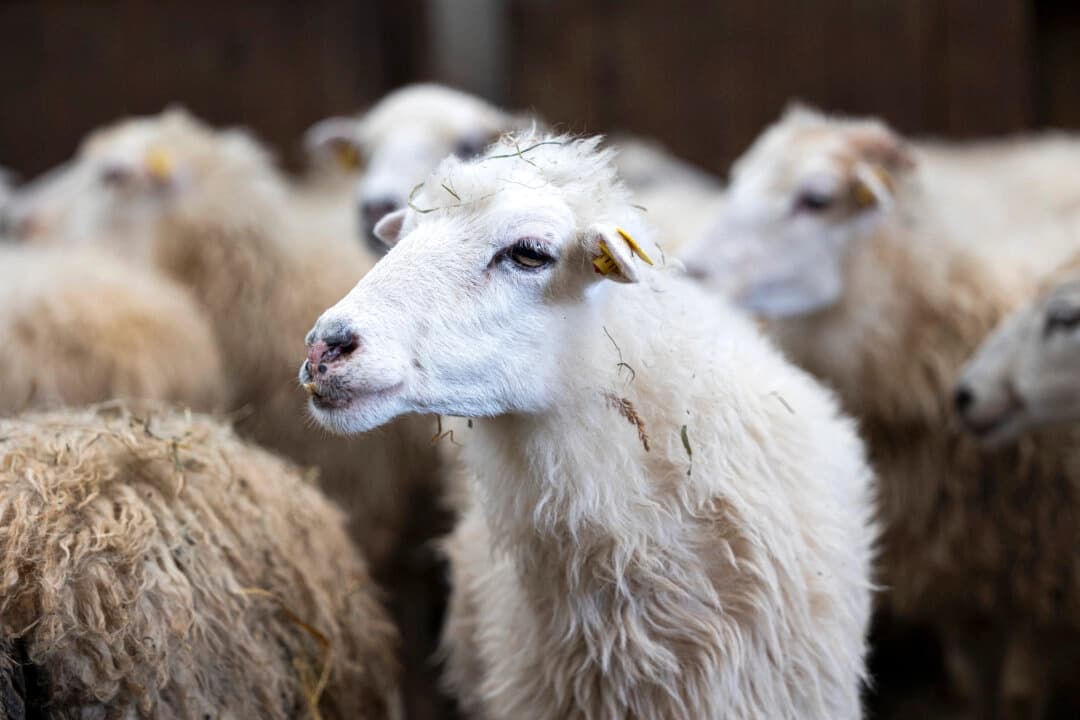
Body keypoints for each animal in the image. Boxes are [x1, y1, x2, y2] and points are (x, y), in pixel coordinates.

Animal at [682, 105, 1080, 718]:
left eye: (816, 199)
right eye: (738, 179)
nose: (690, 272)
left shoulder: (1041, 581)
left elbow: (1018, 696)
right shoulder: (948, 570)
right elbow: (968, 688)